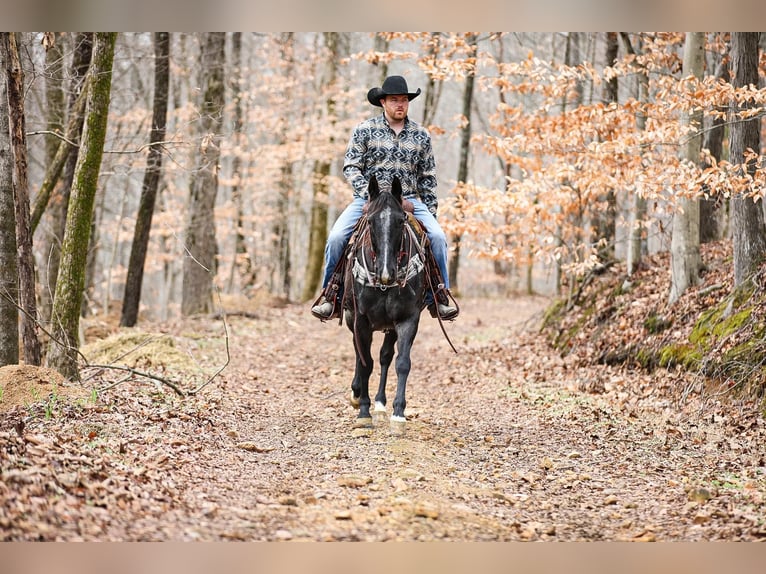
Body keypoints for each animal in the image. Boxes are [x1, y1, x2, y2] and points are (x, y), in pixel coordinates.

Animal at [344, 177, 428, 432]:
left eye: (401, 220)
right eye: (370, 221)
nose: (386, 272)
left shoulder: (407, 319)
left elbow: (401, 363)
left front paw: (398, 414)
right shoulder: (361, 320)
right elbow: (365, 363)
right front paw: (363, 412)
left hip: (389, 326)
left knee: (385, 356)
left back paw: (380, 405)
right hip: (352, 319)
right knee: (359, 352)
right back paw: (357, 393)